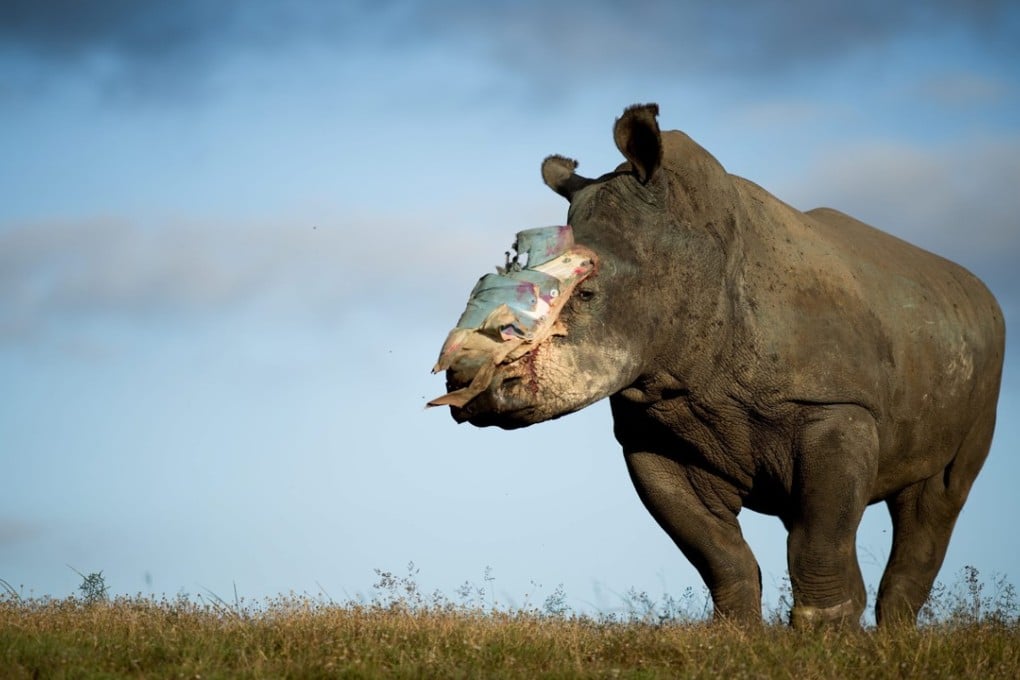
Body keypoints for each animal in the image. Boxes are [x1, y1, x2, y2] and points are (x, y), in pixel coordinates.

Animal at [430, 104, 1005, 627]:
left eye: (587, 293)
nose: (467, 382)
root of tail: (978, 293)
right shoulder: (652, 433)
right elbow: (716, 551)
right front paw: (736, 635)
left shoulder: (836, 406)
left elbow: (821, 536)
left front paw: (826, 638)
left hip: (985, 351)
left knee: (938, 499)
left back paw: (895, 638)